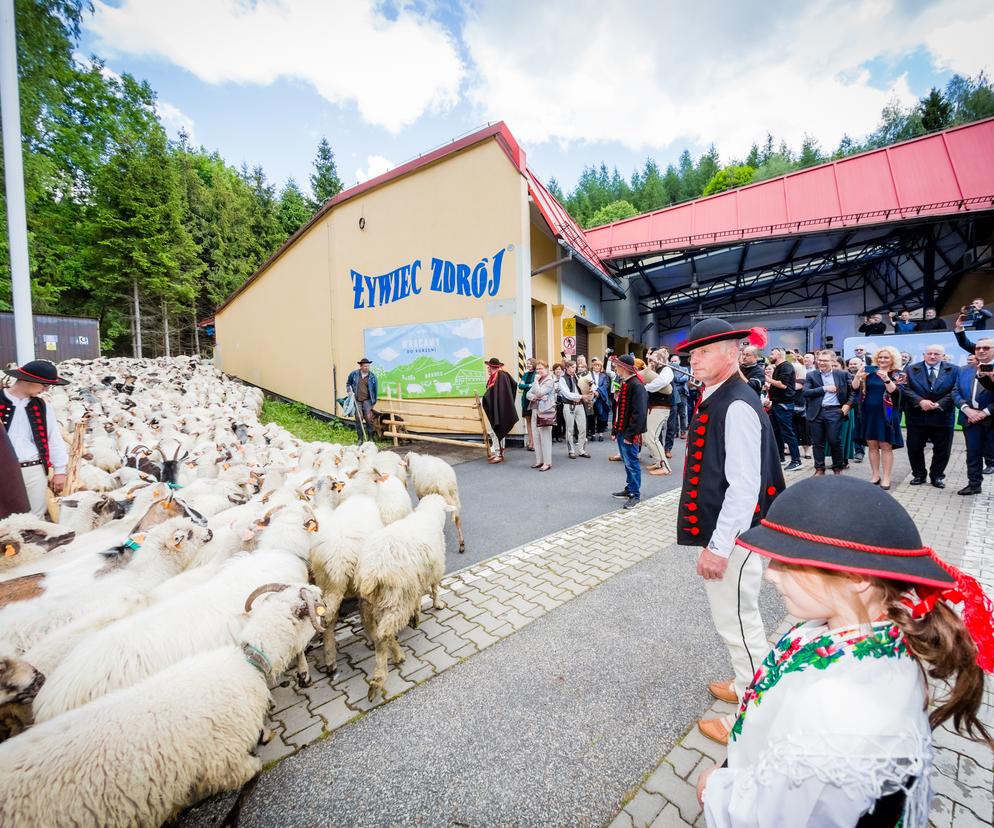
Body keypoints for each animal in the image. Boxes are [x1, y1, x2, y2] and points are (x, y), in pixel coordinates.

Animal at [0, 584, 326, 828]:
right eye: (303, 601)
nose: (318, 589)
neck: (245, 661)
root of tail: (46, 700)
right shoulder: (225, 760)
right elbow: (250, 774)